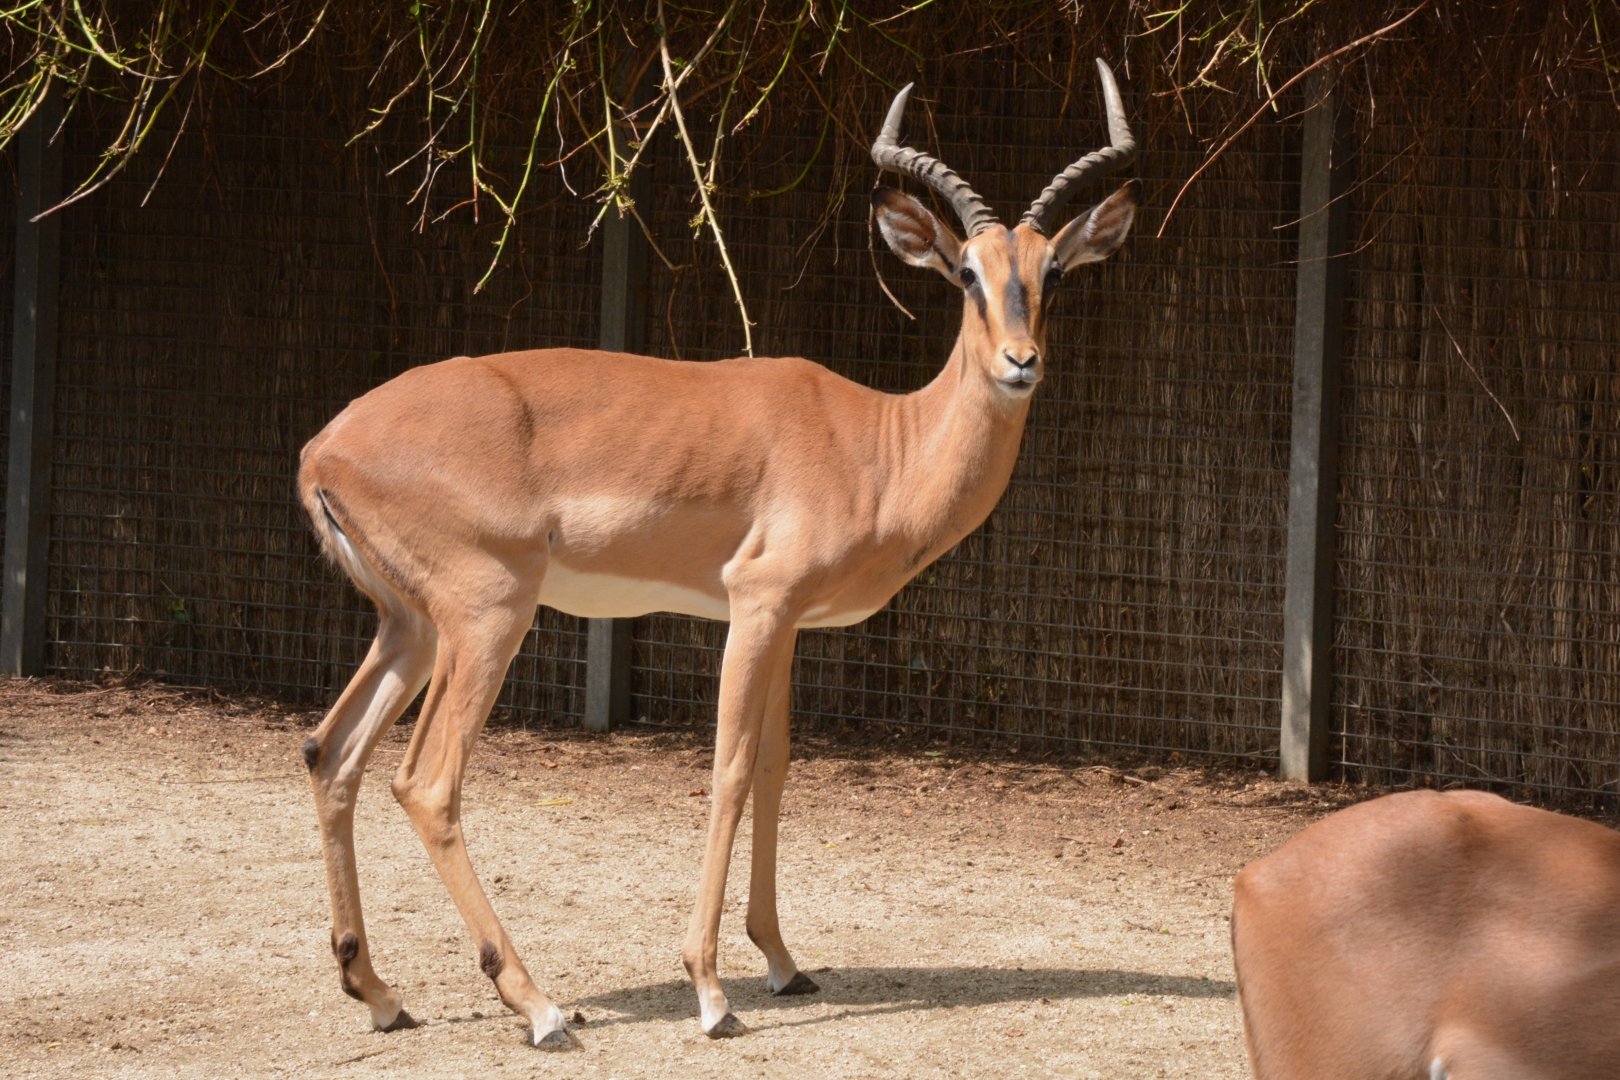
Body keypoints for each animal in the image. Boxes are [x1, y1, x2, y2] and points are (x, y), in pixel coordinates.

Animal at [297, 60, 1138, 1047]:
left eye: (1052, 271)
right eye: (967, 271)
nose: (1020, 361)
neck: (878, 443)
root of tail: (326, 447)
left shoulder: (790, 625)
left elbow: (775, 767)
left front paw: (782, 963)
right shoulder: (758, 604)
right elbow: (730, 770)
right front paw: (710, 992)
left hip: (410, 628)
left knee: (330, 752)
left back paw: (381, 994)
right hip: (487, 614)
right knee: (427, 782)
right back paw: (540, 1007)